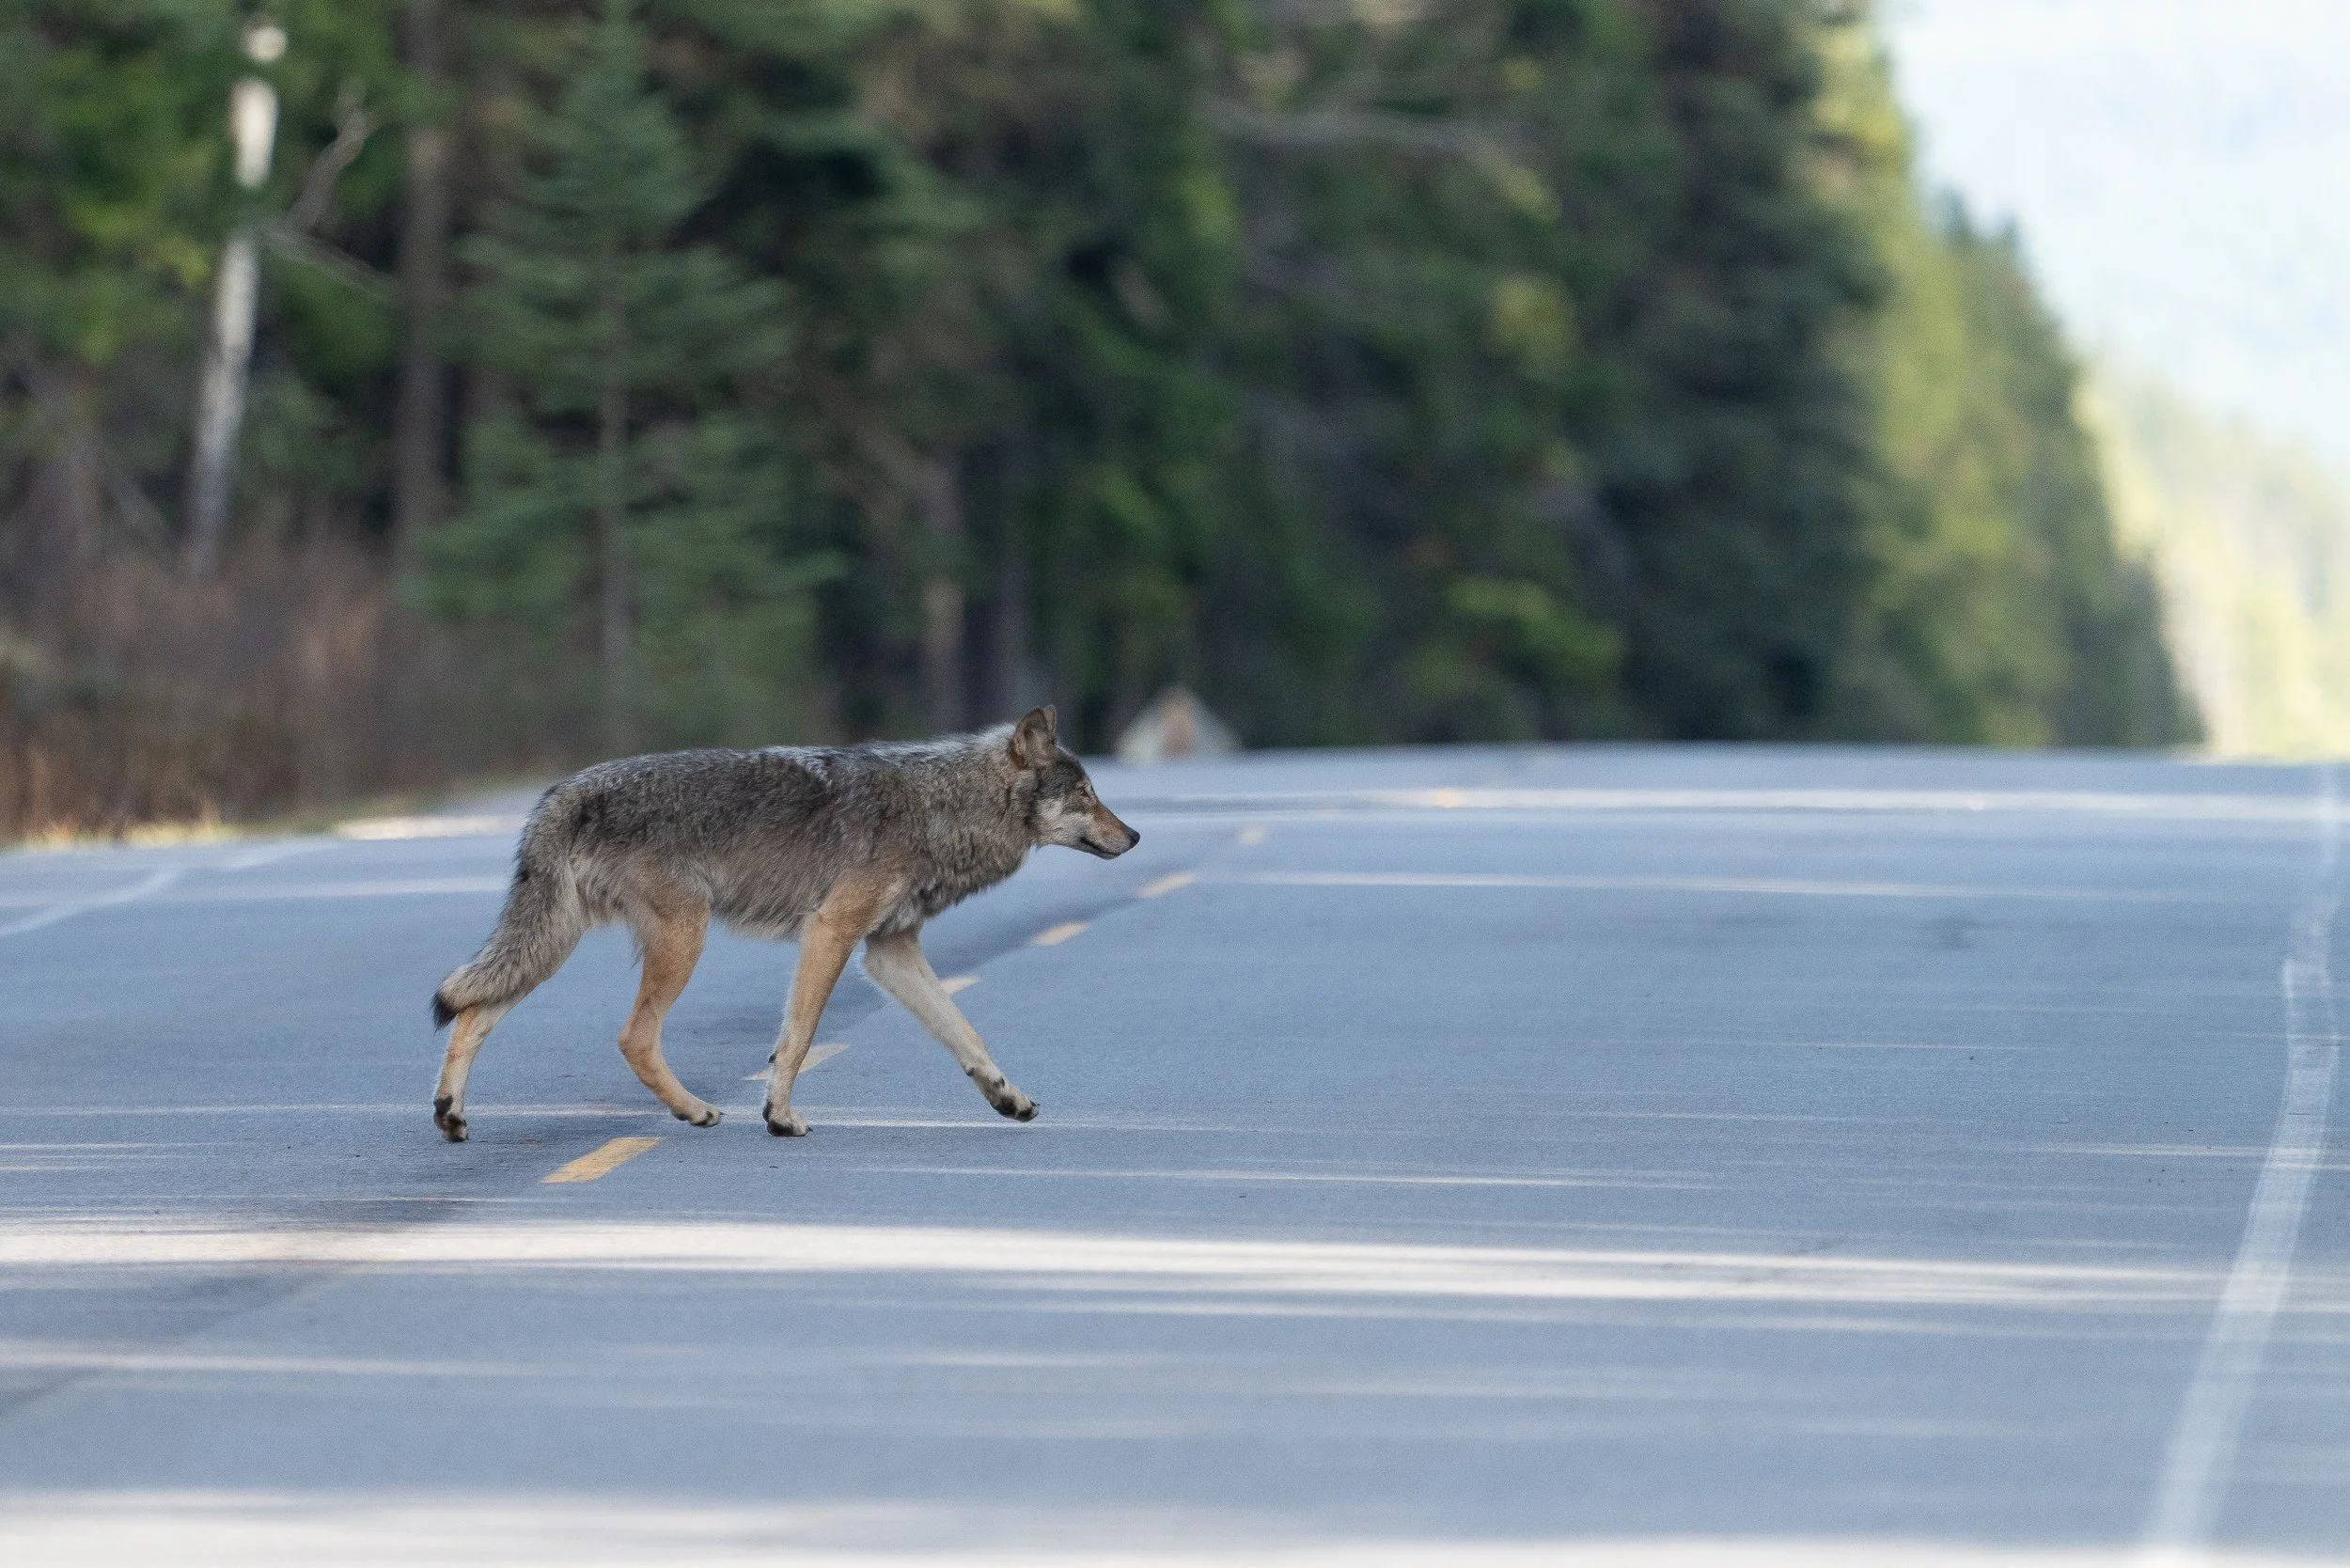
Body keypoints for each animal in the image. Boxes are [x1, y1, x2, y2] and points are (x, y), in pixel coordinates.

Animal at [428, 705, 1138, 1142]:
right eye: (1086, 795)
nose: (1133, 836)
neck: (941, 809)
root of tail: (564, 790)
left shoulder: (889, 950)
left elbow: (967, 1034)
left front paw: (1007, 1098)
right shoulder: (831, 929)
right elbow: (798, 1037)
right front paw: (778, 1116)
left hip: (553, 944)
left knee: (472, 1012)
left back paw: (451, 1116)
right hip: (682, 937)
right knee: (633, 1037)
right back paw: (694, 1110)